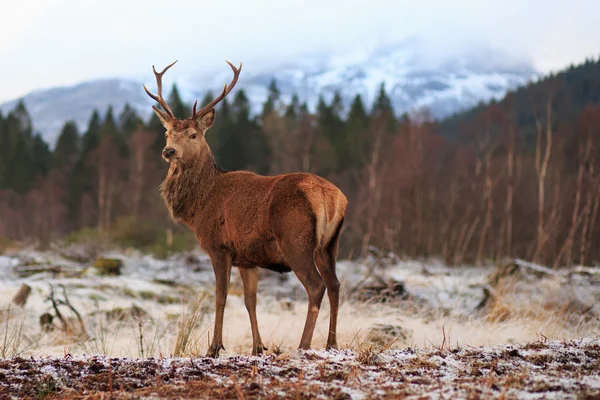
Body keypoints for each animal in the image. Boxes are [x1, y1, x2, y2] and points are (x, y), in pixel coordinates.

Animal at [144, 59, 346, 356]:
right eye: (167, 132)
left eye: (193, 134)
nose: (168, 151)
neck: (201, 203)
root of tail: (330, 197)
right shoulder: (247, 258)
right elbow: (251, 300)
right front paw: (258, 347)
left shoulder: (219, 246)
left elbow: (221, 296)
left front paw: (214, 347)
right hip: (330, 244)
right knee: (335, 285)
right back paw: (332, 344)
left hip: (295, 240)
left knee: (316, 285)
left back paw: (303, 345)